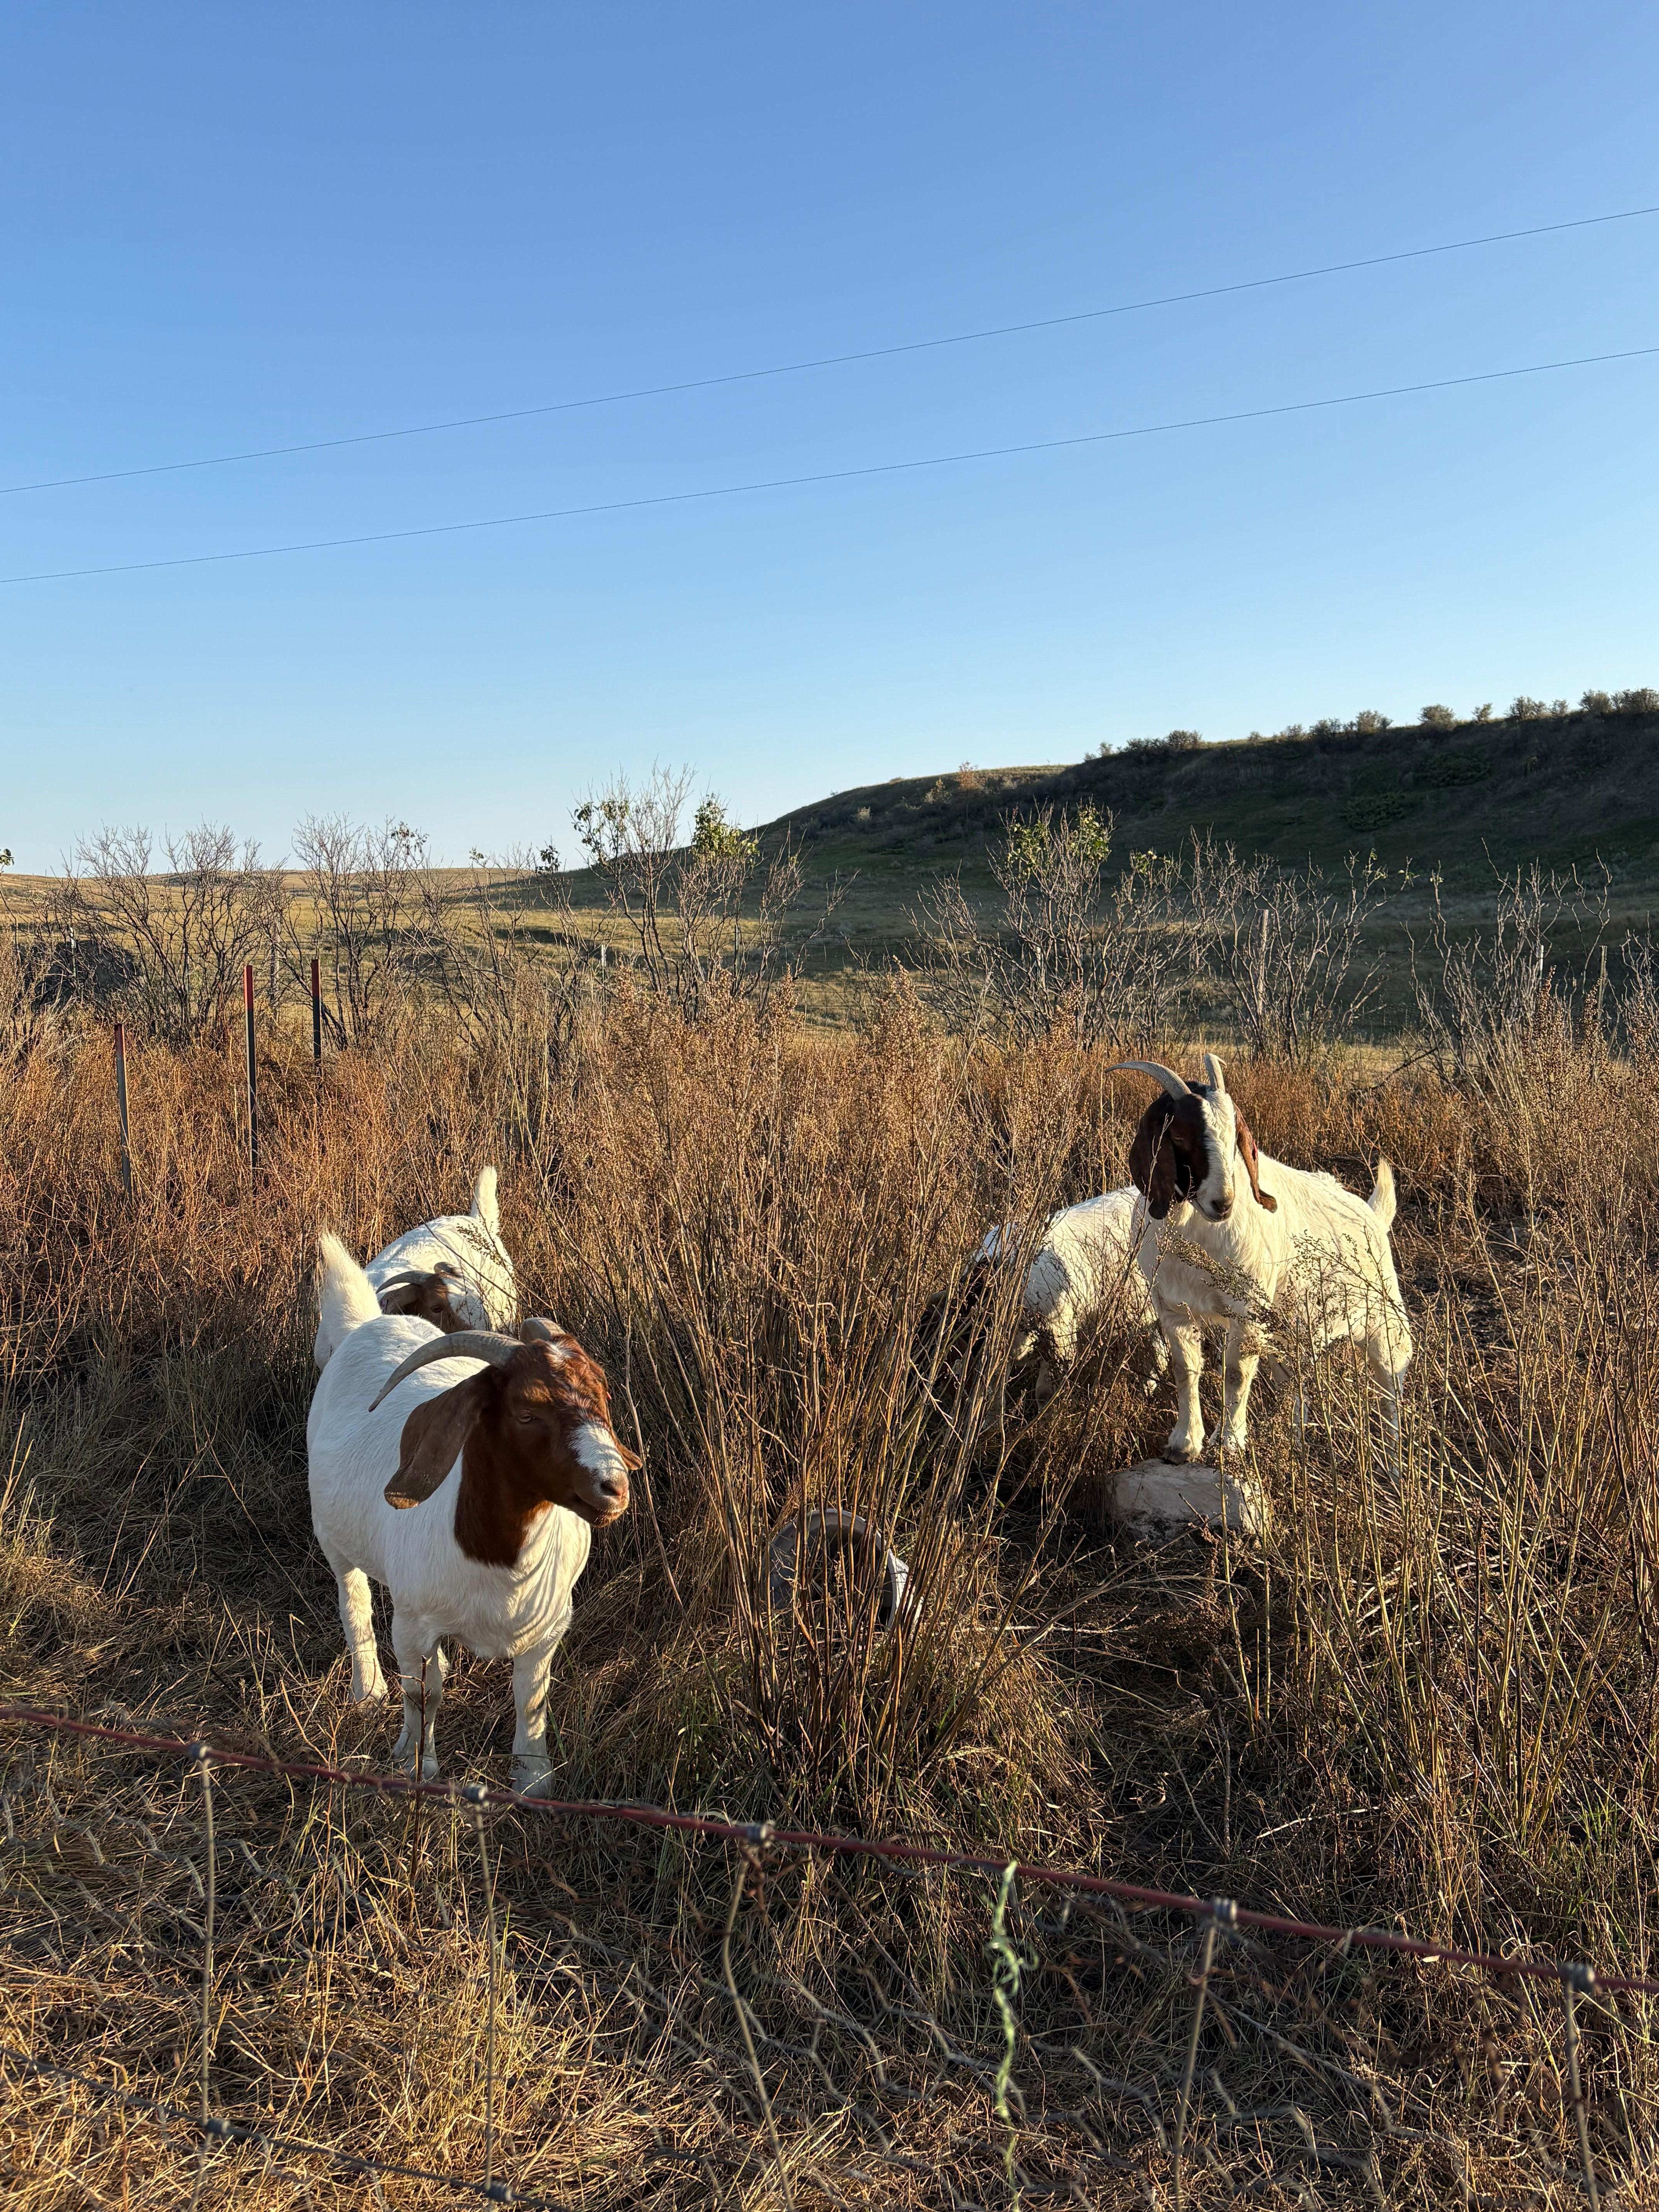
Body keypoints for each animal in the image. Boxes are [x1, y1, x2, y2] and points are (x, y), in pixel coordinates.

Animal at [307, 1233, 635, 1791]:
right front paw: (415, 1765)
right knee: (354, 1604)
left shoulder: (549, 1628)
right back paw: (367, 1690)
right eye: (527, 1412)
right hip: (334, 1539)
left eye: (603, 1397)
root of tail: (366, 1323)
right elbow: (424, 1693)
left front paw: (532, 1778)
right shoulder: (413, 1624)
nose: (614, 1487)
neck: (499, 1562)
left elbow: (531, 1700)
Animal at [1113, 1055, 1411, 1467]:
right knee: (1296, 1383)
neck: (1195, 1232)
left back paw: (1394, 1464)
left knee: (1390, 1387)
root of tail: (1373, 1216)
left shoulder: (1248, 1312)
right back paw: (1295, 1443)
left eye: (1233, 1140)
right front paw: (1183, 1445)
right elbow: (1185, 1370)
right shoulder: (1173, 1309)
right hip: (1293, 1332)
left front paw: (1229, 1445)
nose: (1223, 1203)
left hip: (1384, 1321)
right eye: (1179, 1137)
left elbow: (1236, 1374)